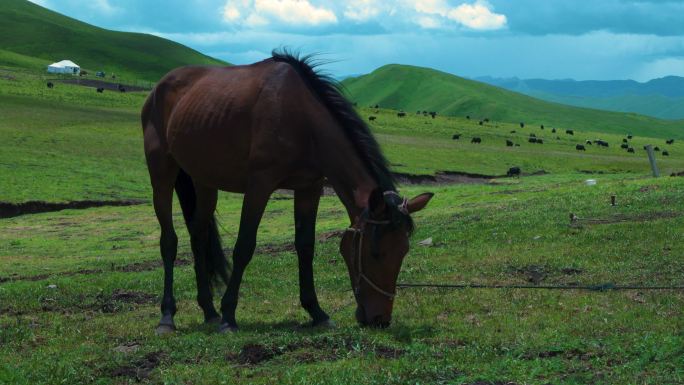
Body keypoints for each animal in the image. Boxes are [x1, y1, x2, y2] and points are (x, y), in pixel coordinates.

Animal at [140, 51, 432, 332]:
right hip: (162, 174)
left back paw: (209, 311)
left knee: (198, 235)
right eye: (375, 253)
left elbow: (305, 246)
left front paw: (317, 312)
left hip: (204, 180)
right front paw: (229, 316)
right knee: (169, 241)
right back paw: (168, 316)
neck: (303, 119)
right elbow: (244, 246)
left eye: (403, 251)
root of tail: (159, 88)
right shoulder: (259, 185)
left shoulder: (309, 188)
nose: (380, 319)